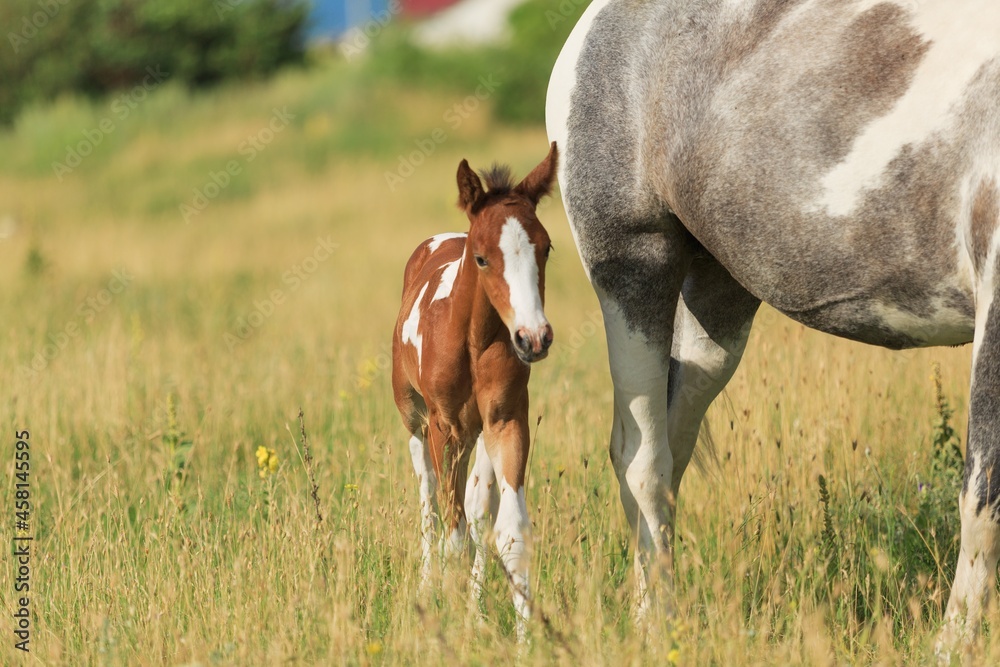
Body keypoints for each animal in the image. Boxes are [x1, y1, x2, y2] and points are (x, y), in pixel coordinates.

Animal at [390, 142, 560, 636]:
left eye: (546, 248)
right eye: (482, 257)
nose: (534, 338)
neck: (471, 341)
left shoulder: (505, 420)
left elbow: (509, 533)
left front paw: (522, 637)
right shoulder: (442, 427)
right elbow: (452, 533)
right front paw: (446, 617)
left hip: (477, 435)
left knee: (479, 508)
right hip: (416, 422)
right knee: (429, 496)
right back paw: (429, 584)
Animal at [548, 0, 1000, 648]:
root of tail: (594, 25)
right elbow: (984, 495)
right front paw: (955, 647)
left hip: (719, 301)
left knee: (671, 448)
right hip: (632, 270)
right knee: (642, 460)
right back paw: (655, 627)